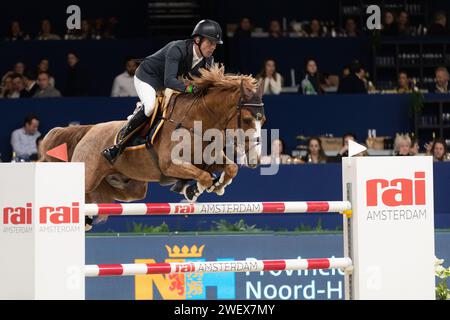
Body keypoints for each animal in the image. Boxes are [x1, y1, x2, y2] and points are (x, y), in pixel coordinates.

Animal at [39, 64, 264, 209]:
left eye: (263, 120)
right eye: (246, 119)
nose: (255, 160)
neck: (199, 121)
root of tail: (89, 130)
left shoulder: (207, 159)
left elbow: (230, 168)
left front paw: (216, 186)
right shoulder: (170, 164)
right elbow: (204, 176)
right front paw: (194, 190)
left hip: (132, 188)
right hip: (88, 174)